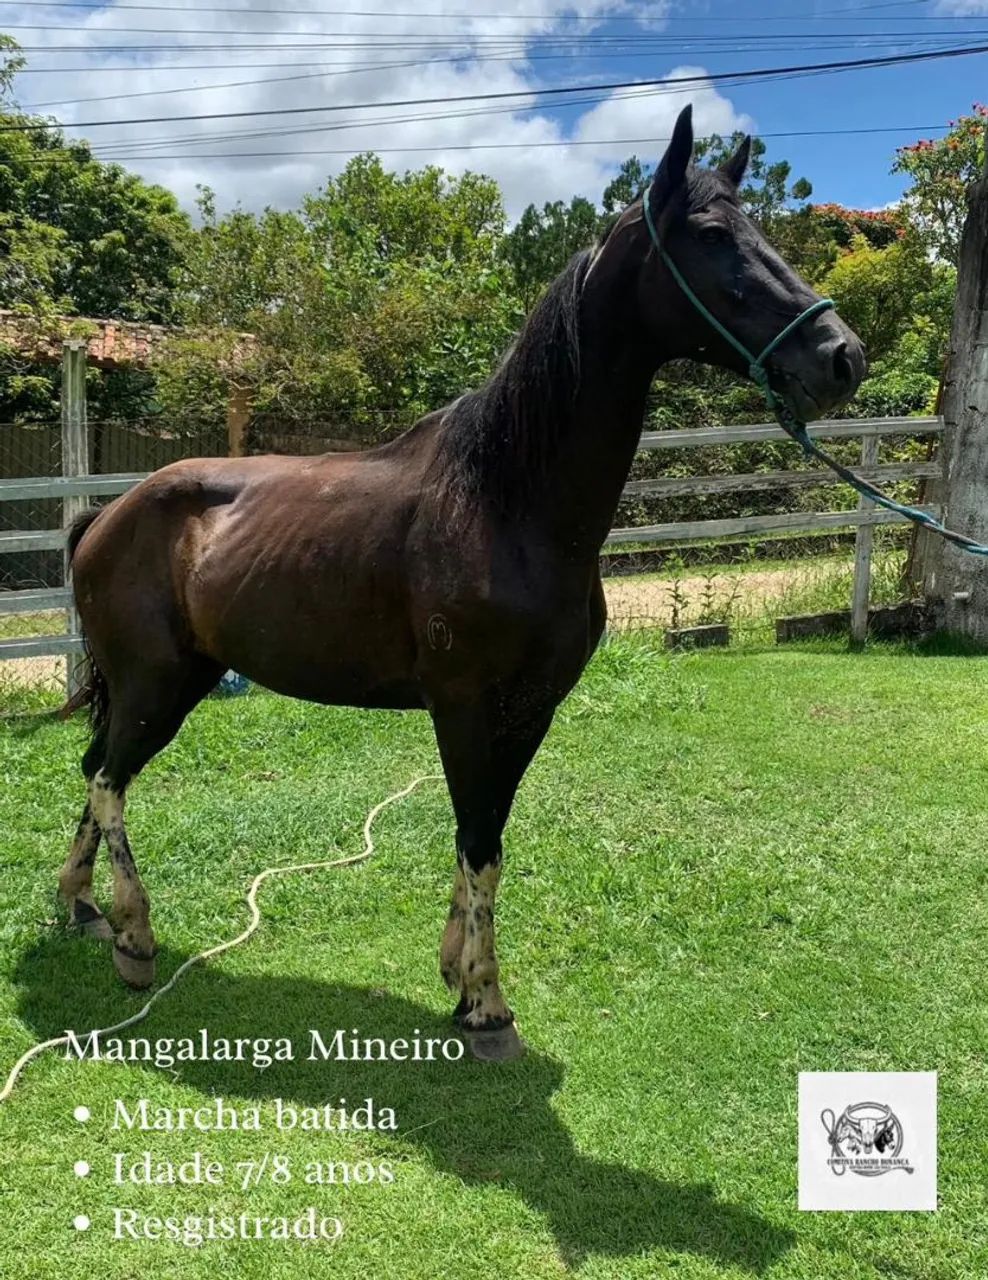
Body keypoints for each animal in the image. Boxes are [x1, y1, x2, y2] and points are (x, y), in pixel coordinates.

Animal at [58, 105, 865, 1061]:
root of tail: (105, 516)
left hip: (166, 684)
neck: (506, 501)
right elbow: (477, 836)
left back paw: (79, 907)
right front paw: (485, 1003)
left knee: (94, 771)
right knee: (111, 782)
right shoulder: (464, 706)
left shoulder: (529, 709)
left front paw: (458, 976)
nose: (843, 356)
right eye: (712, 237)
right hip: (157, 685)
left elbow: (488, 838)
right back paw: (135, 936)